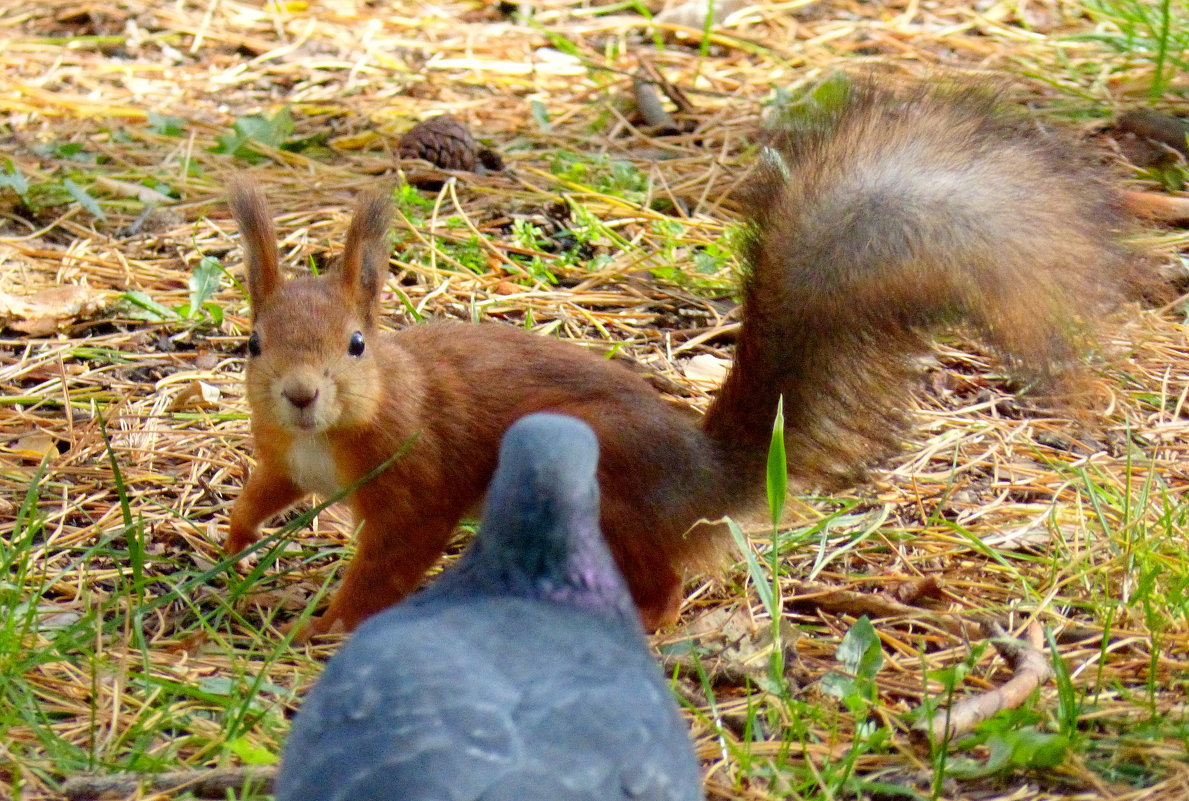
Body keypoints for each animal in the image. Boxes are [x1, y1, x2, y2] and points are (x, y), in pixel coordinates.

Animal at [223, 79, 1122, 632]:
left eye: (355, 343)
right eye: (253, 342)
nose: (301, 394)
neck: (332, 431)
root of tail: (701, 477)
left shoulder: (417, 478)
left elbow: (393, 557)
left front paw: (330, 624)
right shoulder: (282, 454)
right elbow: (262, 489)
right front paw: (228, 542)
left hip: (603, 484)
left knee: (663, 584)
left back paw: (639, 618)